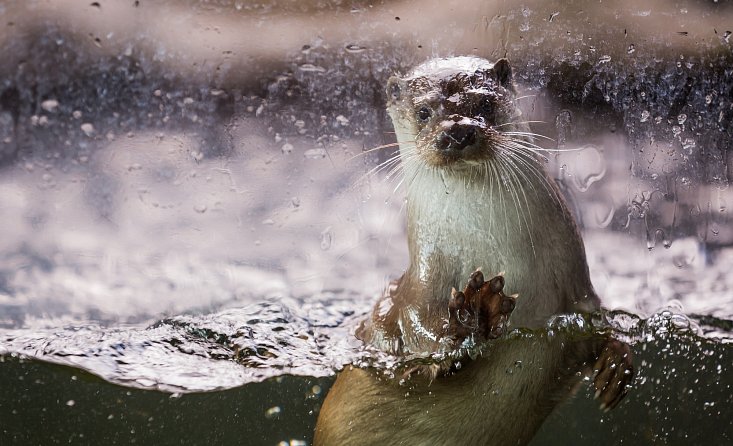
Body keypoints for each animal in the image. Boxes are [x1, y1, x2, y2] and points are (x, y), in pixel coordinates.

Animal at [314, 57, 628, 444]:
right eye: (423, 112)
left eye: (484, 104)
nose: (457, 131)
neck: (490, 243)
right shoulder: (421, 280)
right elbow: (414, 329)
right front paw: (471, 319)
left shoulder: (577, 293)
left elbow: (596, 326)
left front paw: (616, 362)